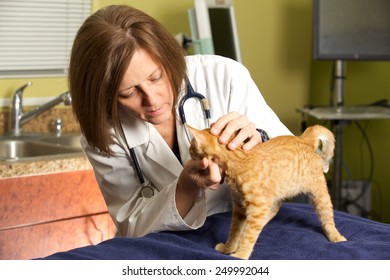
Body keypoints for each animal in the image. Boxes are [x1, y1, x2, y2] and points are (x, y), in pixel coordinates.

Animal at [187, 125, 346, 260]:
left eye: (192, 147)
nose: (189, 151)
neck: (239, 160)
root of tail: (302, 139)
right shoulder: (239, 207)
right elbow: (234, 232)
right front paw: (229, 248)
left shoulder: (259, 207)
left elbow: (248, 236)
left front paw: (240, 255)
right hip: (274, 196)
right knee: (272, 211)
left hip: (319, 193)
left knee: (327, 216)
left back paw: (335, 236)